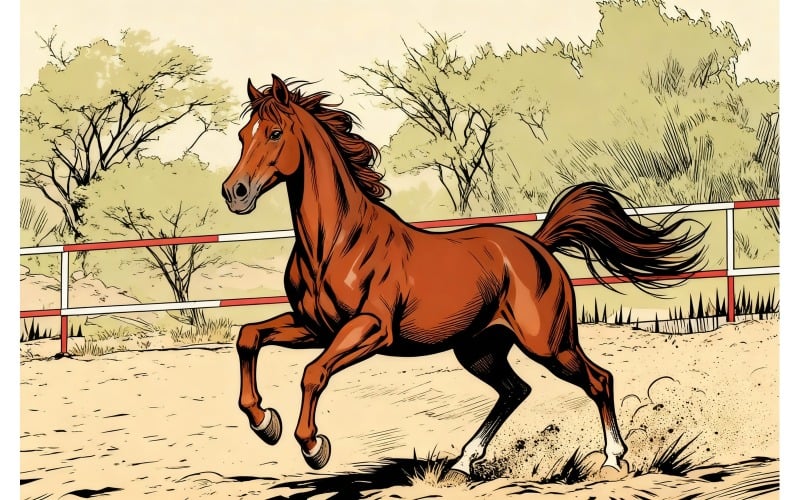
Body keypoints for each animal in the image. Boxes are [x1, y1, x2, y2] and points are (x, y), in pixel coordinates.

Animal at [221, 75, 705, 481]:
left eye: (275, 133)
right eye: (243, 135)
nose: (235, 192)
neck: (337, 243)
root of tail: (538, 245)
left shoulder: (370, 329)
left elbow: (313, 373)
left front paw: (312, 446)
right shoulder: (314, 326)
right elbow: (249, 337)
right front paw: (265, 423)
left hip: (548, 344)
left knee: (598, 380)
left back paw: (612, 459)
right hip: (479, 350)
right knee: (515, 390)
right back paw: (462, 461)